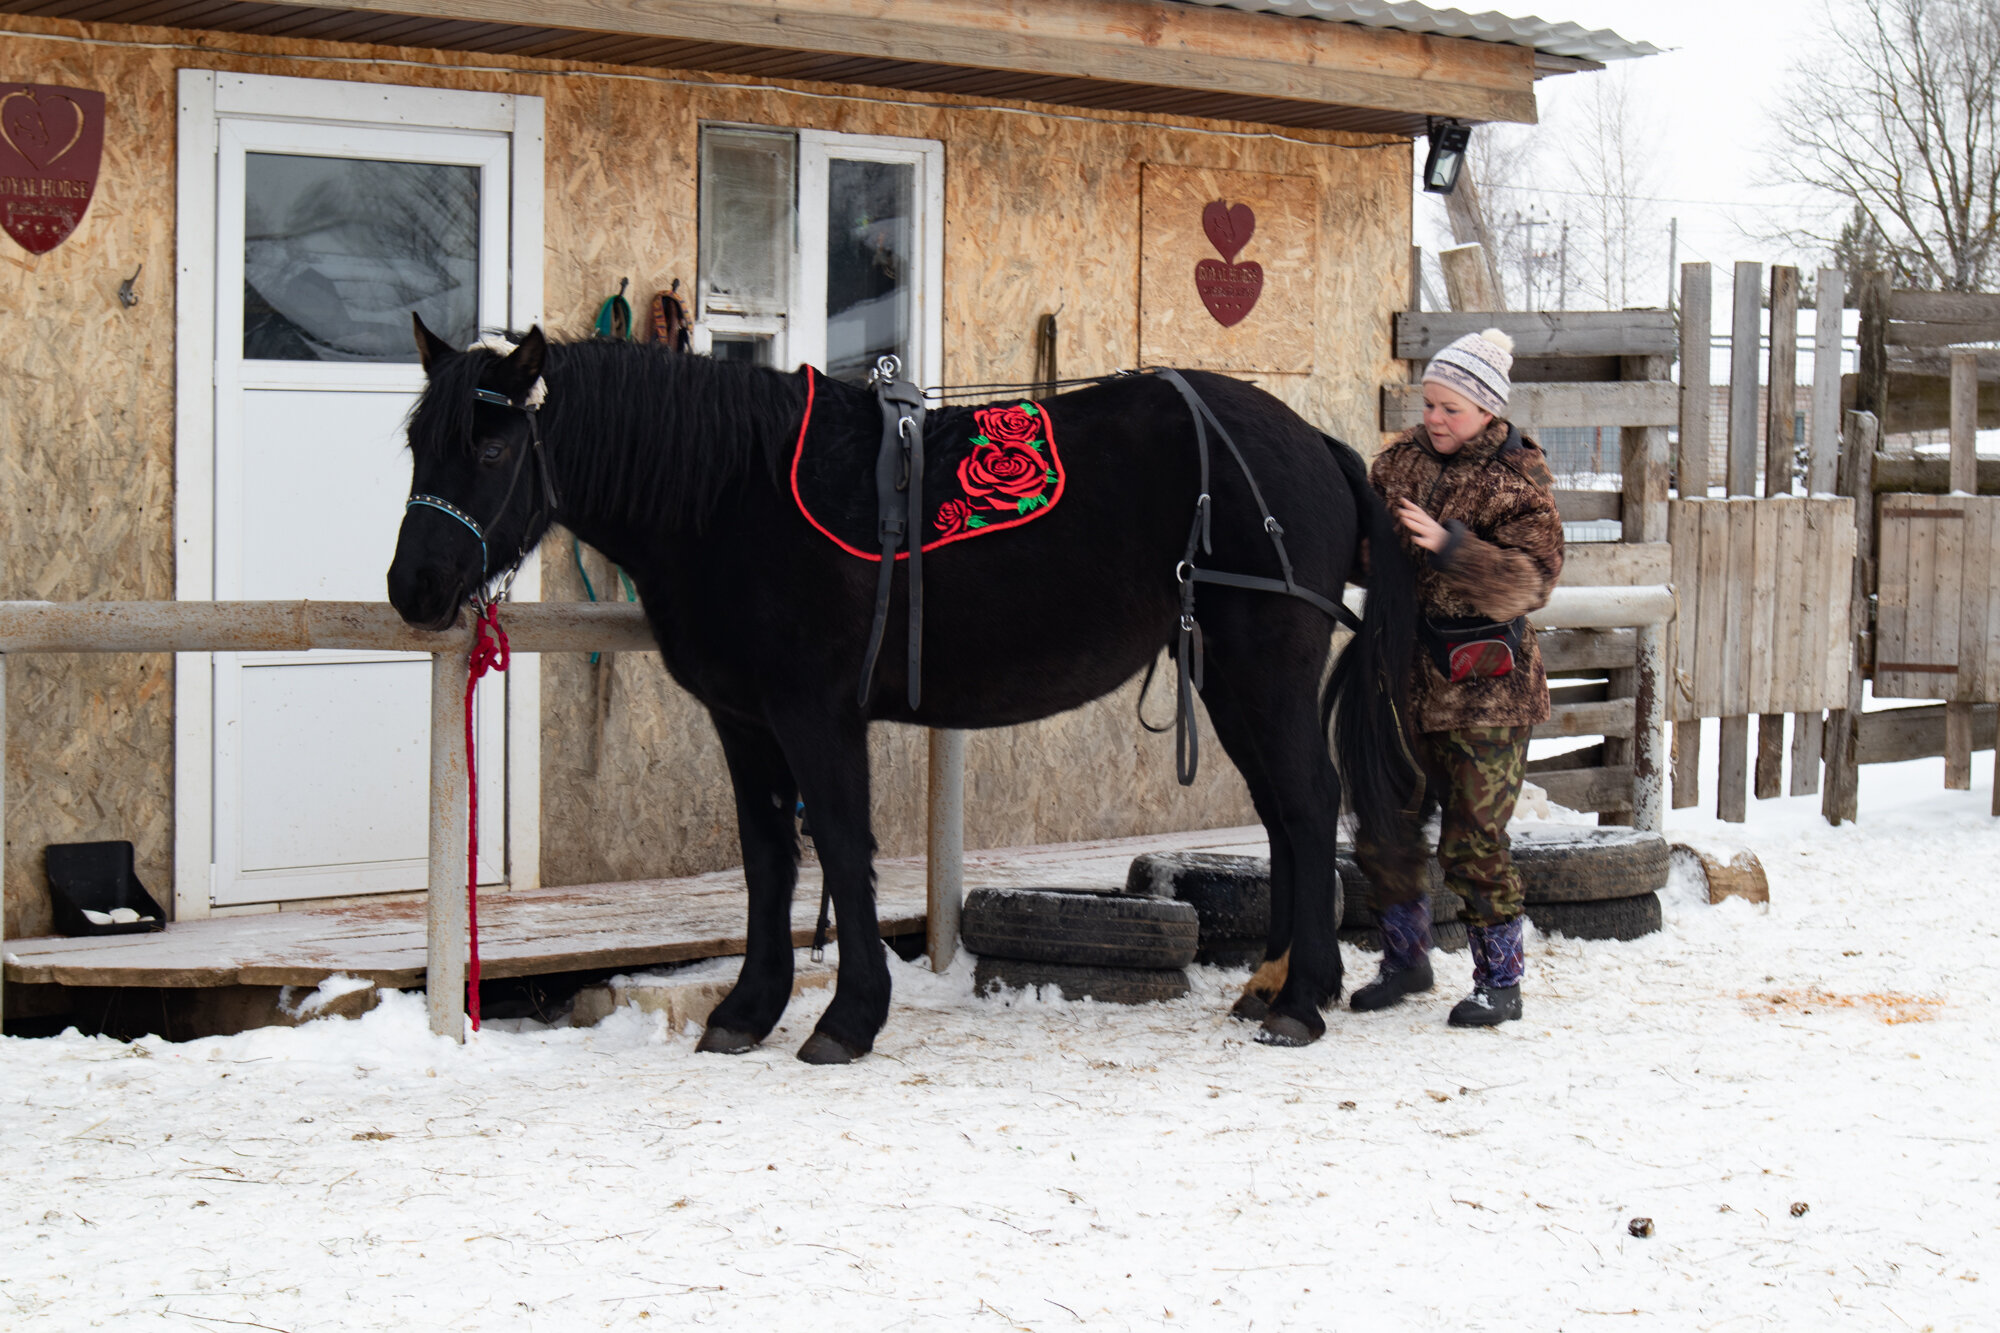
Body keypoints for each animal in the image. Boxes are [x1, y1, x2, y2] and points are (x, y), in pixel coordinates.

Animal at [390, 322, 1424, 1056]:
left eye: (490, 451)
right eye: (416, 442)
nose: (414, 588)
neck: (732, 491)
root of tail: (1314, 443)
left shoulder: (815, 713)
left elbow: (845, 853)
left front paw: (848, 1018)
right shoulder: (744, 720)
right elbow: (768, 859)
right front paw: (749, 1009)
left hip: (1262, 667)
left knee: (1307, 805)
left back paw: (1302, 999)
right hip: (1227, 676)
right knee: (1284, 816)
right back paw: (1272, 985)